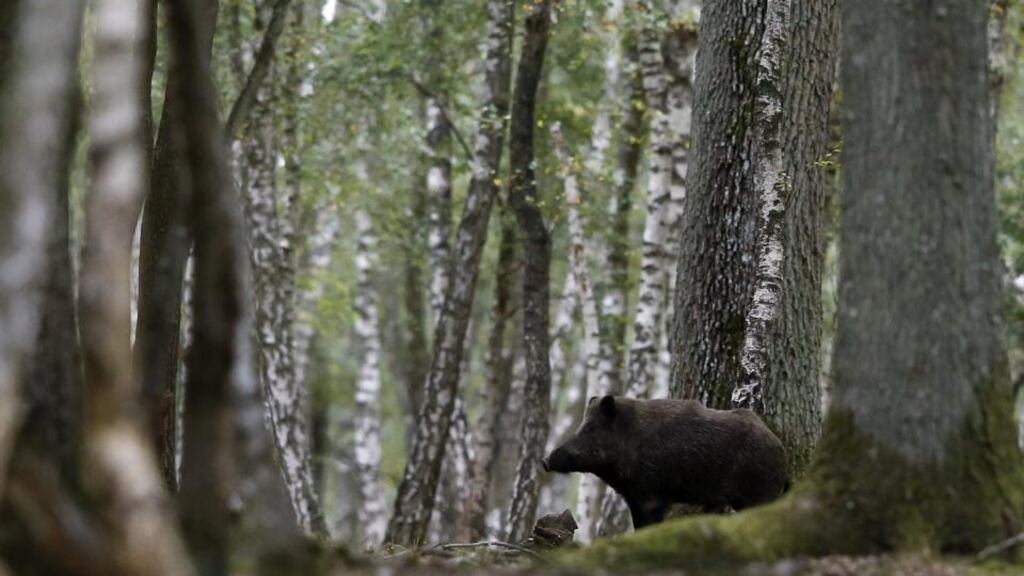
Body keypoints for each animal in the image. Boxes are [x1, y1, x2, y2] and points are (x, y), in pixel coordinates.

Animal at [542, 395, 789, 529]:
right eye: (582, 425)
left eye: (591, 428)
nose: (545, 460)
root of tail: (780, 447)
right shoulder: (633, 497)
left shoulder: (653, 494)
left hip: (760, 492)